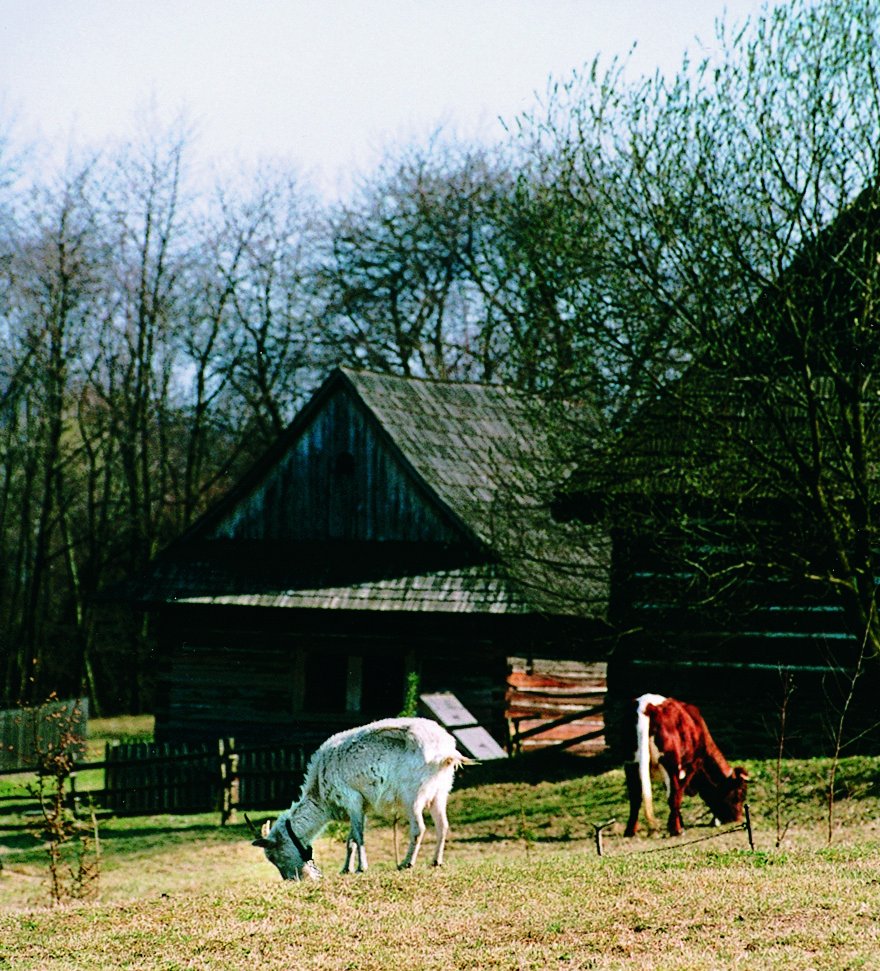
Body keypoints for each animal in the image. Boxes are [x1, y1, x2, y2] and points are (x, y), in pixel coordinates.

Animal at [248, 712, 468, 880]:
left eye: (275, 856)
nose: (293, 879)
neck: (319, 790)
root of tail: (445, 752)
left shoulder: (351, 799)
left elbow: (359, 836)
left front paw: (362, 868)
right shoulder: (361, 806)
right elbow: (351, 839)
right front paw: (346, 869)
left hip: (412, 795)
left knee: (418, 828)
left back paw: (406, 863)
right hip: (441, 791)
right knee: (443, 825)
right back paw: (436, 862)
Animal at [624, 692, 744, 836]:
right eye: (740, 793)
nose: (738, 818)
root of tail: (648, 706)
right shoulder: (691, 765)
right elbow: (677, 795)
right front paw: (676, 824)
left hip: (630, 764)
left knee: (635, 798)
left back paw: (630, 831)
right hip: (671, 764)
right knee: (672, 797)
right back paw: (677, 830)